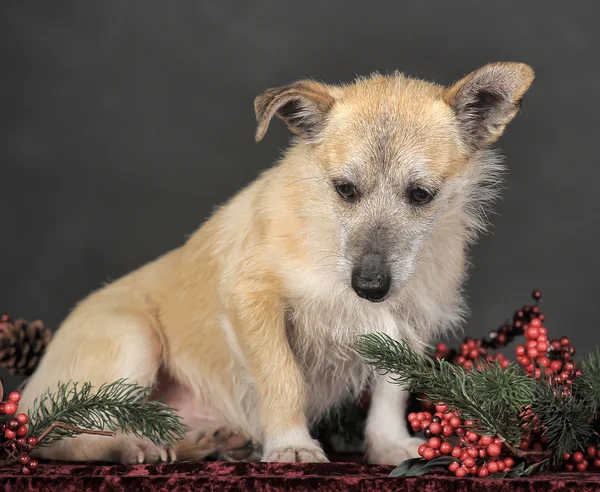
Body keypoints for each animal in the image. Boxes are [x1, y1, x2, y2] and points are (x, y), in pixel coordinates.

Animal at [18, 61, 536, 466]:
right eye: (344, 189)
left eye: (422, 195)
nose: (370, 287)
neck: (328, 240)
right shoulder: (254, 300)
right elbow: (283, 379)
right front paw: (290, 444)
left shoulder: (408, 324)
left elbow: (391, 393)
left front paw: (388, 446)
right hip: (132, 339)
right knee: (54, 437)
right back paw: (129, 447)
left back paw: (205, 443)